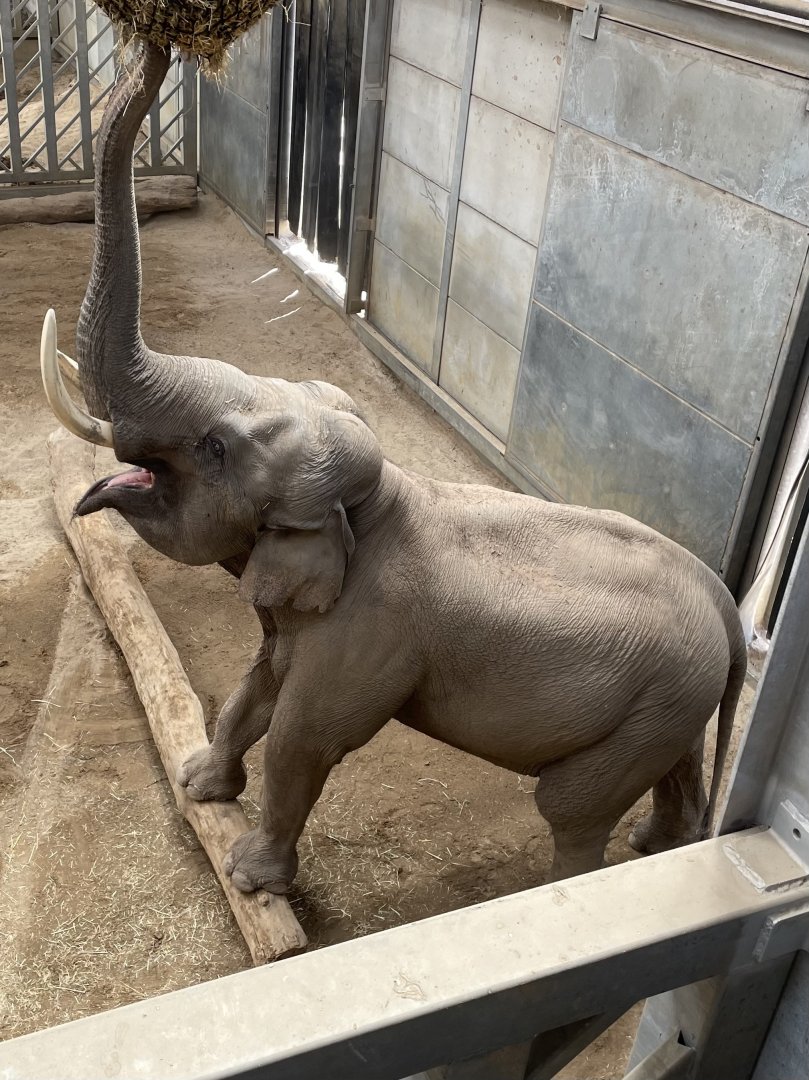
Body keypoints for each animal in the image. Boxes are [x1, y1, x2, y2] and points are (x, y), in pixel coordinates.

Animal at [41, 40, 746, 892]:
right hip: (674, 700)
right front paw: (198, 783)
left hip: (651, 702)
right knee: (674, 765)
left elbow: (303, 733)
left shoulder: (371, 626)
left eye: (215, 448)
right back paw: (656, 848)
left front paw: (249, 876)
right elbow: (258, 684)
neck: (373, 503)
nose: (158, 48)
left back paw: (566, 887)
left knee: (570, 807)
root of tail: (728, 614)